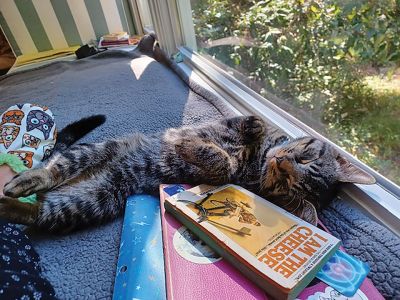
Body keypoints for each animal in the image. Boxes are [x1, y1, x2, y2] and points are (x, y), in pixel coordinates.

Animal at [0, 115, 376, 232]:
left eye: (287, 187)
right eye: (307, 155)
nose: (282, 164)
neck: (258, 160)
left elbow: (221, 164)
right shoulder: (219, 127)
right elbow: (243, 128)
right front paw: (253, 126)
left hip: (94, 200)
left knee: (37, 213)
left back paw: (11, 202)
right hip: (94, 153)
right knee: (51, 171)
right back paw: (26, 179)